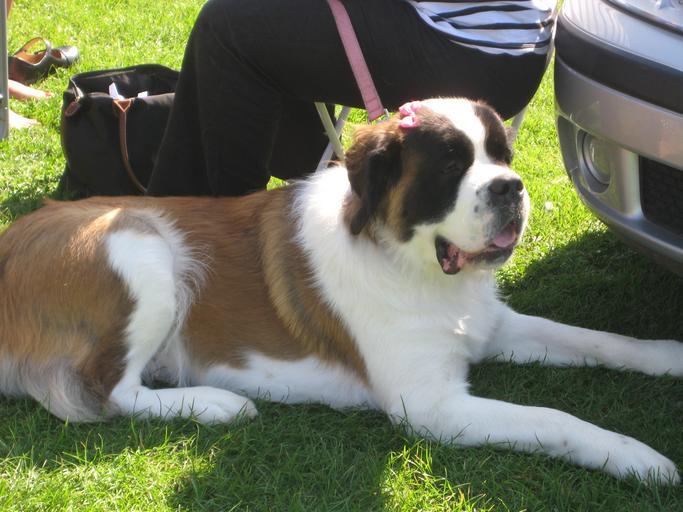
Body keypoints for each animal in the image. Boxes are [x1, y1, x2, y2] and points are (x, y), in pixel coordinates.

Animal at [0, 98, 680, 484]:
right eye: (450, 166)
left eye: (501, 154)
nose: (511, 187)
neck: (410, 261)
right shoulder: (432, 408)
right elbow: (555, 419)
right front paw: (637, 458)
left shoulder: (495, 327)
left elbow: (601, 339)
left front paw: (669, 354)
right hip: (140, 248)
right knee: (107, 393)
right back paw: (218, 405)